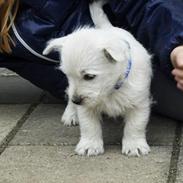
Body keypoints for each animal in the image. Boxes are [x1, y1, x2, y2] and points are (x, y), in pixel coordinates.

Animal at [43, 0, 152, 157]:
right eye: (67, 75)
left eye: (89, 76)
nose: (76, 101)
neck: (111, 89)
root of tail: (107, 28)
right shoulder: (85, 107)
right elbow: (89, 126)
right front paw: (90, 145)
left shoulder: (139, 103)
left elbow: (135, 125)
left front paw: (134, 145)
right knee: (68, 93)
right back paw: (70, 114)